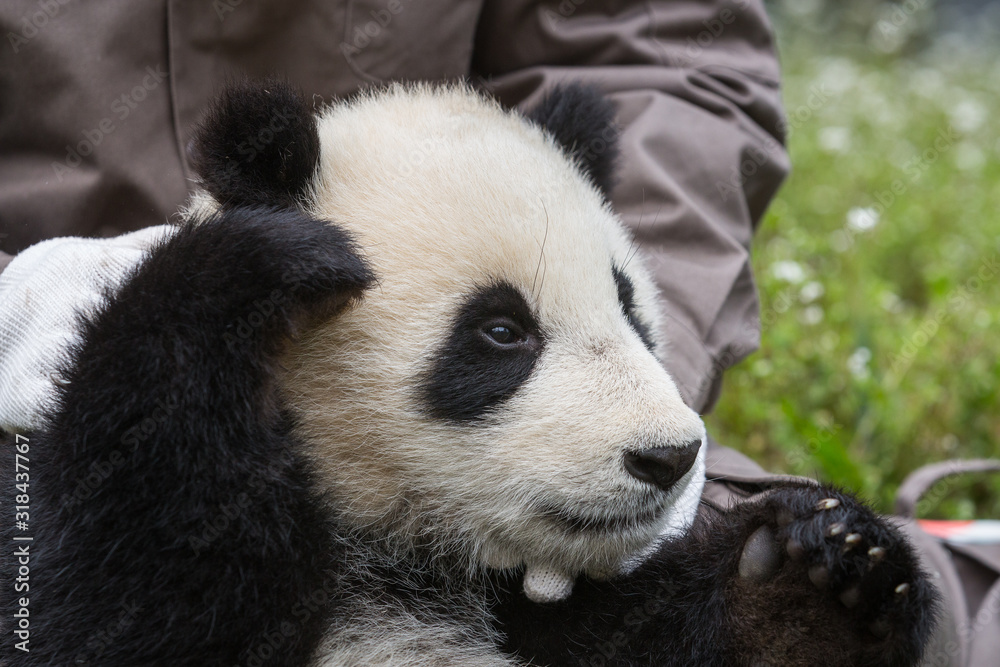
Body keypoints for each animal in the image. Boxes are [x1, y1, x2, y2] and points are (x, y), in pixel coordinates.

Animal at [1, 80, 937, 666]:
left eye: (631, 309)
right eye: (500, 331)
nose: (668, 457)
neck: (406, 560)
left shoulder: (538, 617)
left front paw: (818, 570)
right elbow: (106, 594)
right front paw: (261, 256)